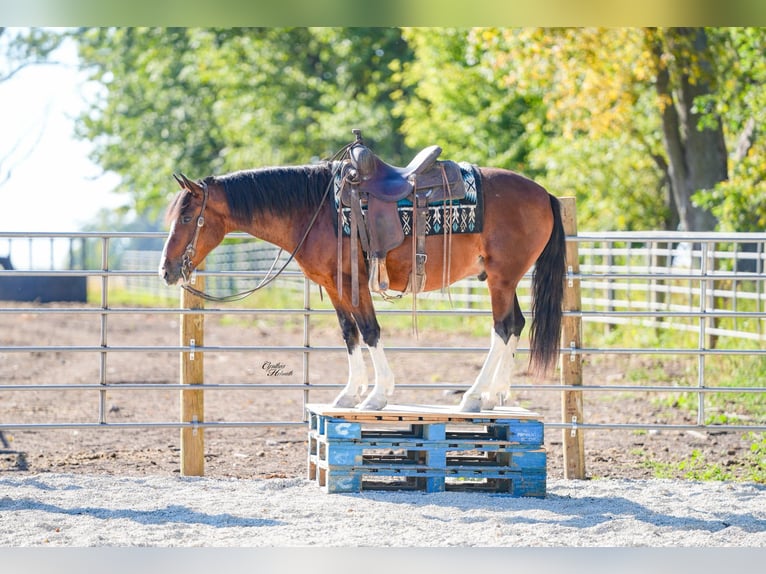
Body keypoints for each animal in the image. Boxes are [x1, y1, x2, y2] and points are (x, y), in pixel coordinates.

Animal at [159, 155, 566, 412]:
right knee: (515, 325)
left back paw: (474, 397)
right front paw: (349, 394)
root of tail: (544, 193)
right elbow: (349, 333)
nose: (166, 270)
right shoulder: (334, 285)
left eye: (187, 218)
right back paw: (496, 395)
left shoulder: (353, 281)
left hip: (501, 279)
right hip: (504, 280)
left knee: (502, 327)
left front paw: (377, 396)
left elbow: (370, 331)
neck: (315, 210)